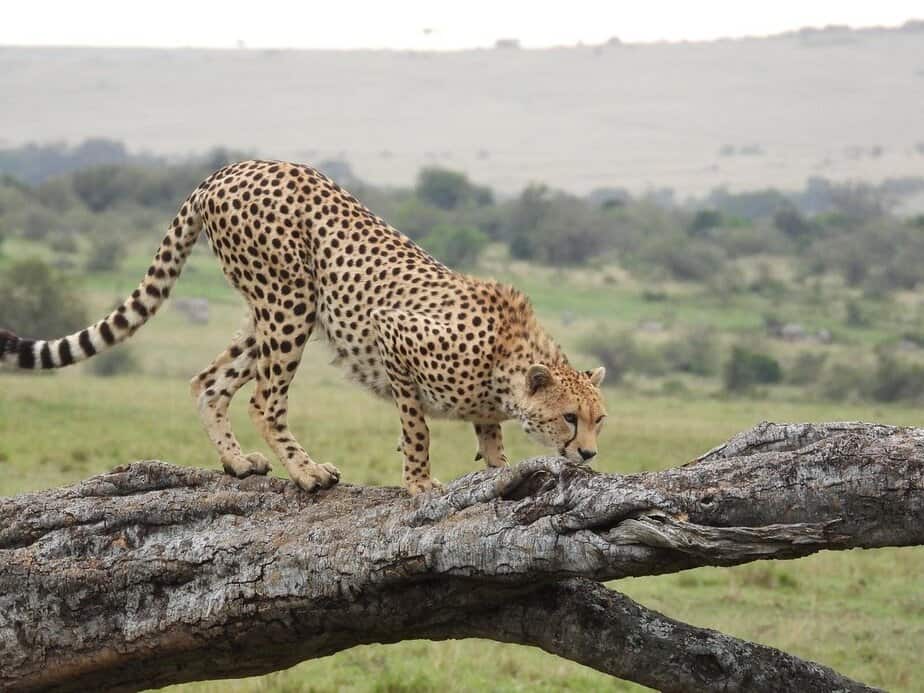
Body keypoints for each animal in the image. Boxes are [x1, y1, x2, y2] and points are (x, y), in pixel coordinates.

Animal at [0, 160, 607, 495]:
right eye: (569, 418)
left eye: (600, 420)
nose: (588, 455)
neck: (507, 359)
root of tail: (231, 167)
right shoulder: (395, 337)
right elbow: (418, 429)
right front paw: (419, 484)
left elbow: (489, 436)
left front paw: (498, 471)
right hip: (290, 300)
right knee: (263, 401)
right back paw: (307, 472)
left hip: (274, 308)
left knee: (208, 382)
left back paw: (237, 461)